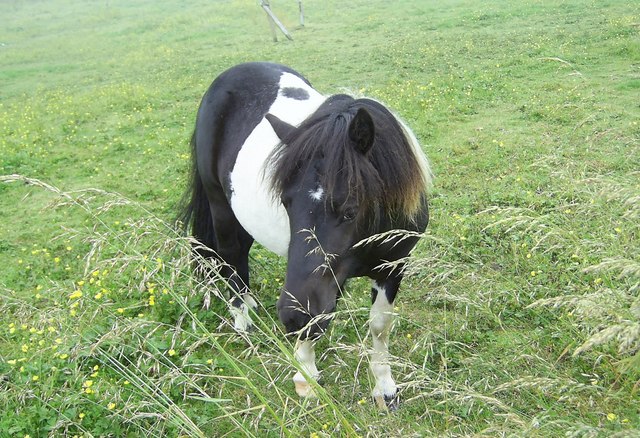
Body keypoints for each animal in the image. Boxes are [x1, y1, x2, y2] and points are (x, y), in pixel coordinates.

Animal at [180, 62, 431, 409]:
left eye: (350, 210)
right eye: (286, 202)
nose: (291, 319)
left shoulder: (392, 267)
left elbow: (379, 326)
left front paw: (384, 388)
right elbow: (311, 319)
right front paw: (306, 375)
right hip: (221, 209)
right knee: (230, 258)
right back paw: (242, 321)